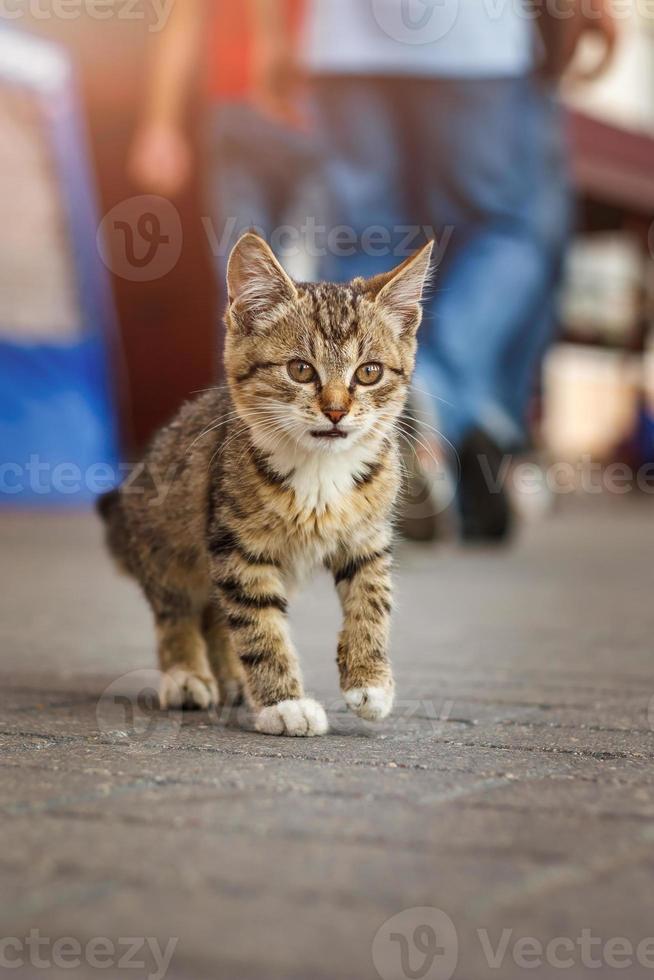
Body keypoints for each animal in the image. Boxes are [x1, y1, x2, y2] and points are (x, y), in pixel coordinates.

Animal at [100, 232, 434, 736]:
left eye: (369, 372)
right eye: (301, 370)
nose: (336, 411)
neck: (320, 472)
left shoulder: (368, 537)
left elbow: (372, 599)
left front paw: (370, 679)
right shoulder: (236, 546)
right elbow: (258, 626)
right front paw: (284, 703)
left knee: (215, 617)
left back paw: (232, 677)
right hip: (166, 541)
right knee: (177, 609)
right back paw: (186, 674)